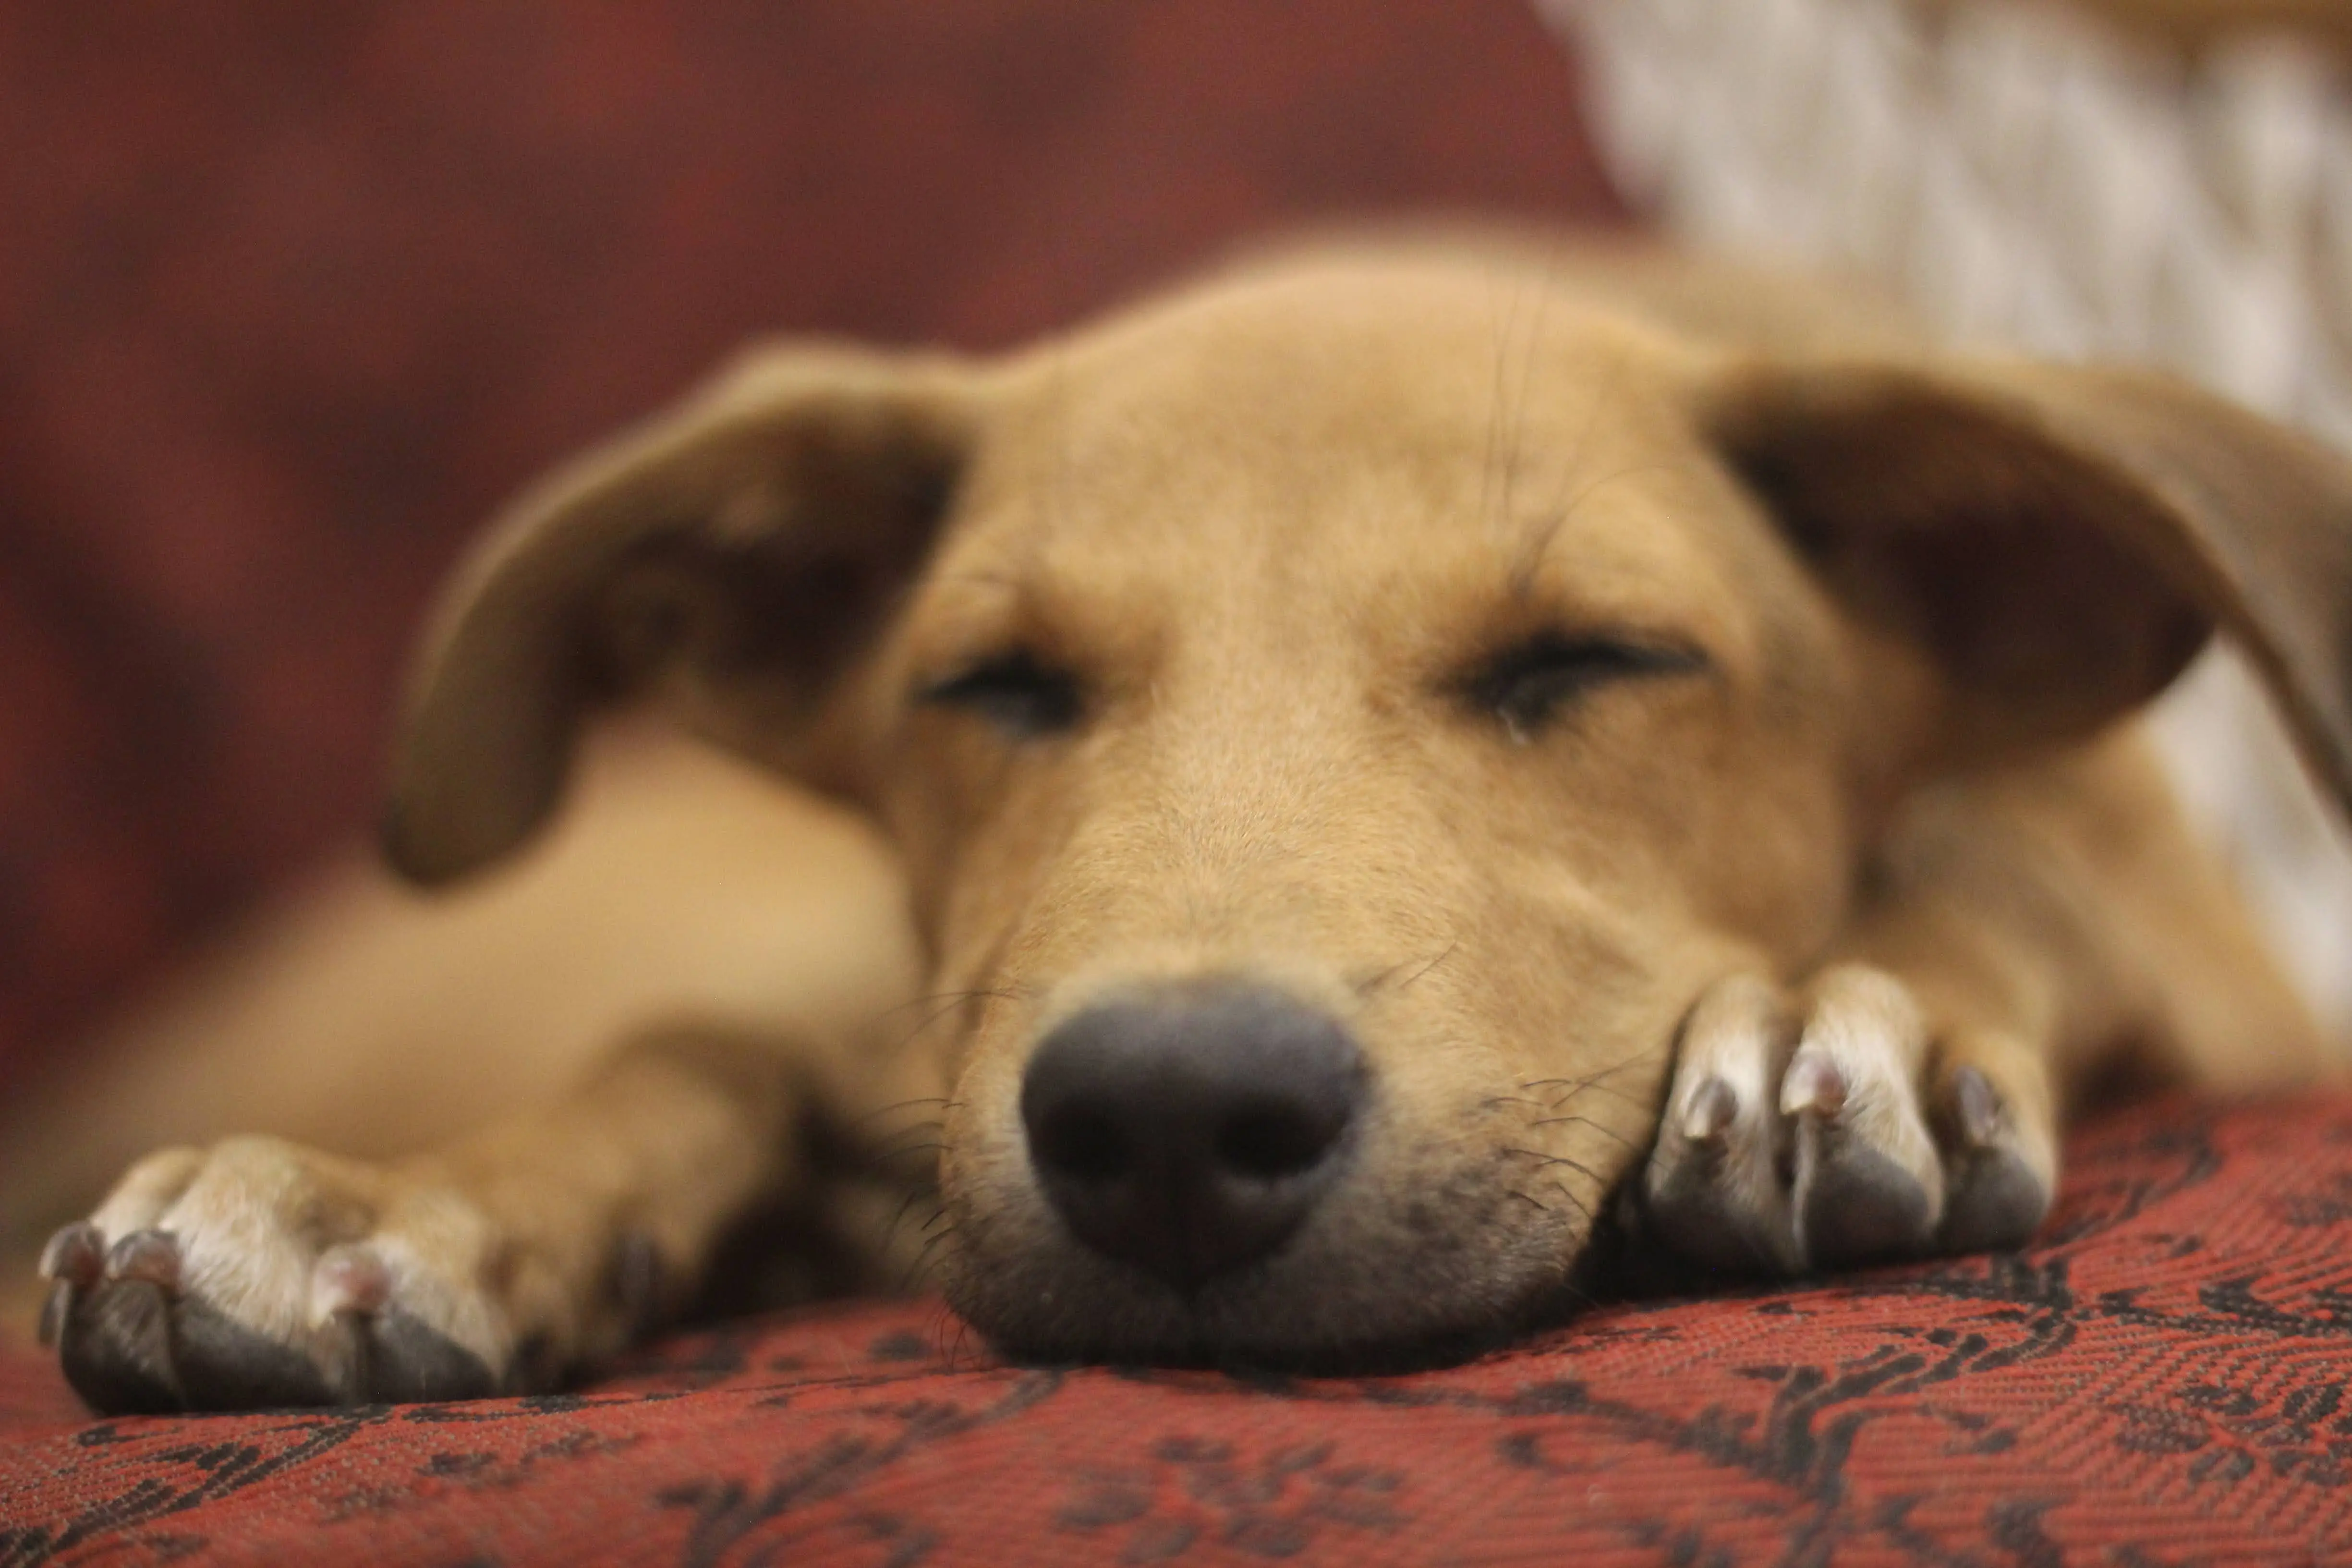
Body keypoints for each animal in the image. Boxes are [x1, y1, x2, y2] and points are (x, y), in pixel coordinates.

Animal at [4, 236, 2352, 1420]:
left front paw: (1833, 1019)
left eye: (1591, 658)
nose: (1161, 1118)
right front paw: (402, 1203)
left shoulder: (2223, 974)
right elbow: (702, 1048)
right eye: (992, 685)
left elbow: (1995, 874)